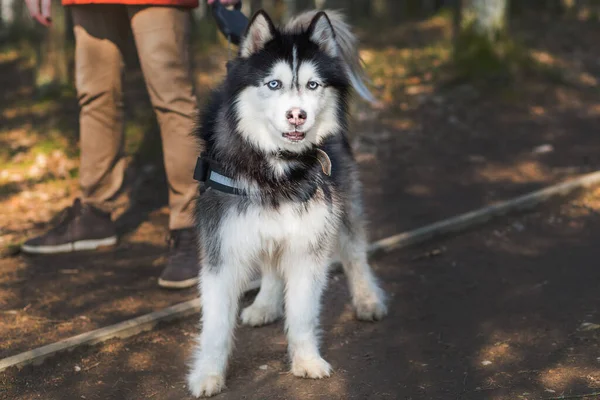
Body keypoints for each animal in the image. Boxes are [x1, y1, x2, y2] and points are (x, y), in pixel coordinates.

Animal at [189, 9, 390, 396]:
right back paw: (265, 303)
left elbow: (302, 312)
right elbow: (217, 324)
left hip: (341, 207)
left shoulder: (308, 244)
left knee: (354, 253)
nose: (297, 115)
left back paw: (367, 299)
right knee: (270, 263)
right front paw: (207, 374)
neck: (277, 168)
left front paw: (306, 360)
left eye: (313, 85)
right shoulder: (223, 247)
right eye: (273, 84)